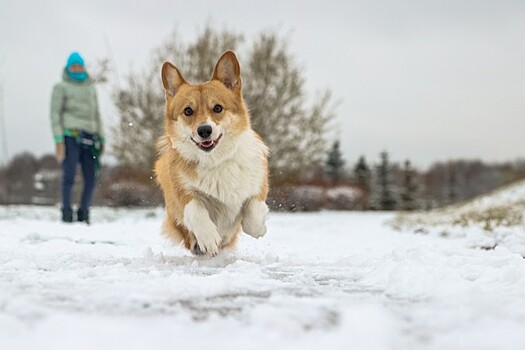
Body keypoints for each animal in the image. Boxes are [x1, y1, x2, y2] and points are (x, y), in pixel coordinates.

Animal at [155, 50, 270, 256]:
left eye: (218, 108)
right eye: (188, 111)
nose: (204, 130)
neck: (215, 161)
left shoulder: (258, 184)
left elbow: (253, 215)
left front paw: (260, 229)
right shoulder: (182, 192)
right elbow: (196, 210)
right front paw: (208, 239)